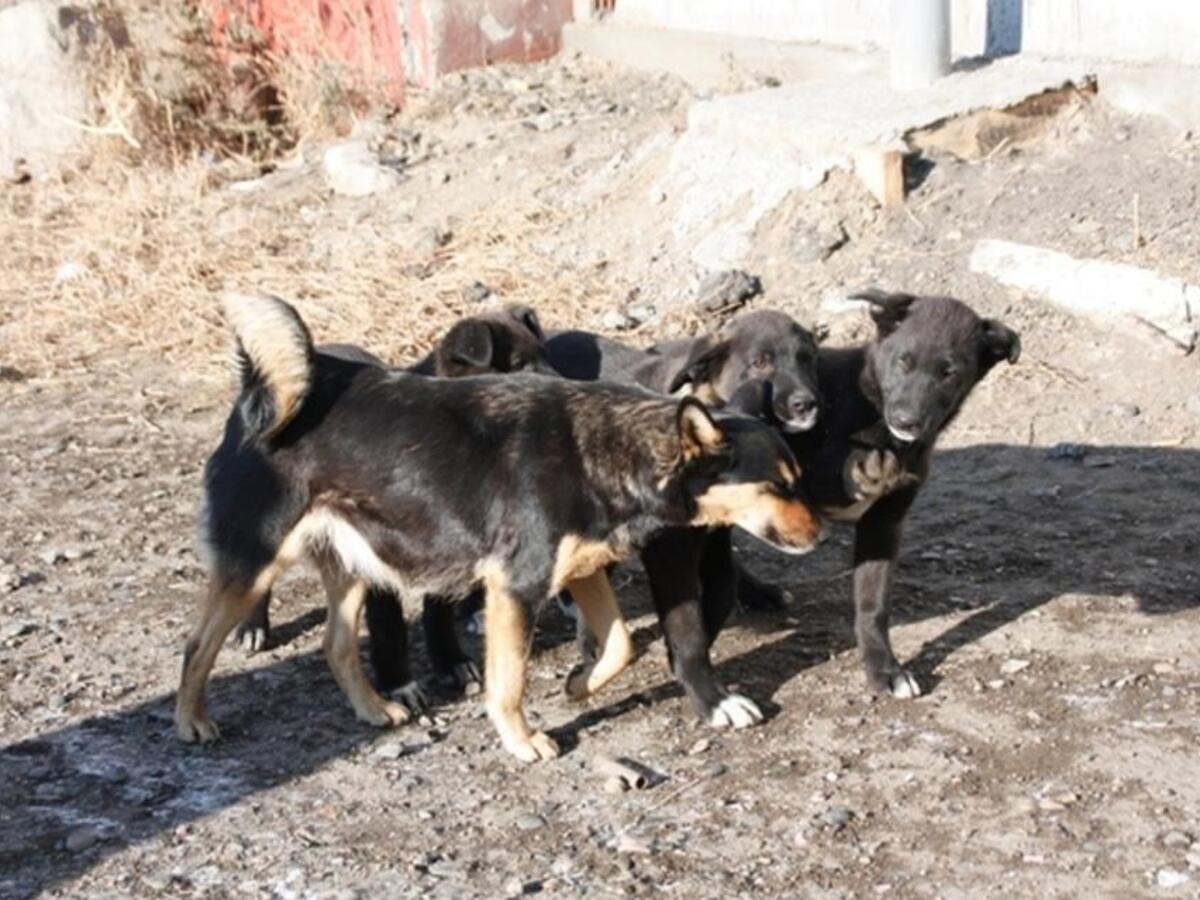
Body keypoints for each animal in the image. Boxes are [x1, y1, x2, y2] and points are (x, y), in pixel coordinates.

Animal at [175, 292, 825, 763]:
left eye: (799, 479)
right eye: (779, 486)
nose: (820, 535)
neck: (608, 450)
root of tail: (257, 398)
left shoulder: (580, 571)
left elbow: (620, 643)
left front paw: (581, 683)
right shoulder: (517, 587)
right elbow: (508, 682)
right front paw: (522, 739)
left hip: (354, 563)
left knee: (337, 645)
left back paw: (373, 709)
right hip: (255, 560)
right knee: (197, 645)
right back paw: (192, 720)